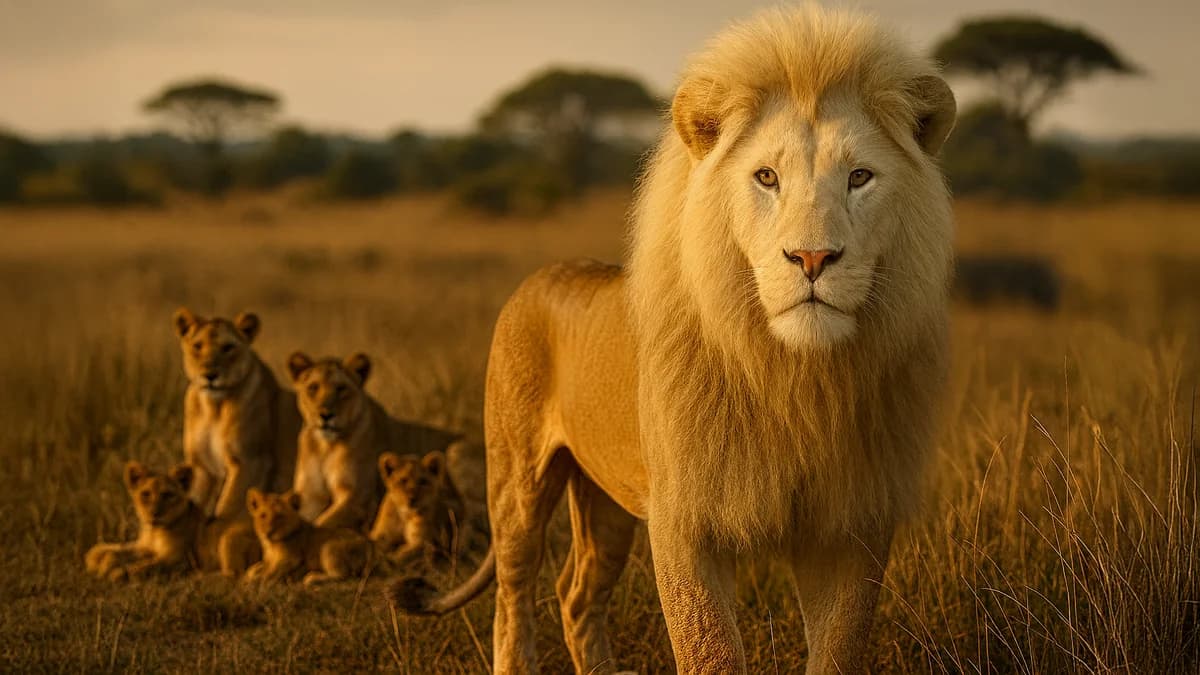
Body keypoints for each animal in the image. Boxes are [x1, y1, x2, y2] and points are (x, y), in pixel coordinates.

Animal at [85, 461, 260, 581]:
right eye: (145, 494)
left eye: (168, 495)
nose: (154, 513)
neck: (155, 531)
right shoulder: (145, 547)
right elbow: (116, 550)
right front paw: (101, 562)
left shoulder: (179, 558)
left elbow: (147, 565)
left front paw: (117, 573)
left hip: (229, 536)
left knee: (234, 575)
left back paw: (196, 576)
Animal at [173, 308, 301, 519]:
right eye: (197, 346)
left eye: (228, 347)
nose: (210, 375)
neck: (213, 408)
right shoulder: (201, 467)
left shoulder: (250, 461)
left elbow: (228, 508)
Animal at [286, 351, 474, 532]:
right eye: (312, 388)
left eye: (341, 389)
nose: (326, 415)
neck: (325, 447)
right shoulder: (310, 496)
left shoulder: (358, 497)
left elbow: (321, 524)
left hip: (458, 451)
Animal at [390, 6, 956, 674]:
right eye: (766, 177)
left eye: (860, 177)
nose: (813, 258)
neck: (793, 375)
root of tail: (537, 277)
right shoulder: (685, 517)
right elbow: (707, 647)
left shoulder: (854, 522)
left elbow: (839, 649)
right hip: (517, 479)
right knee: (513, 595)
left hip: (604, 500)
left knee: (576, 594)